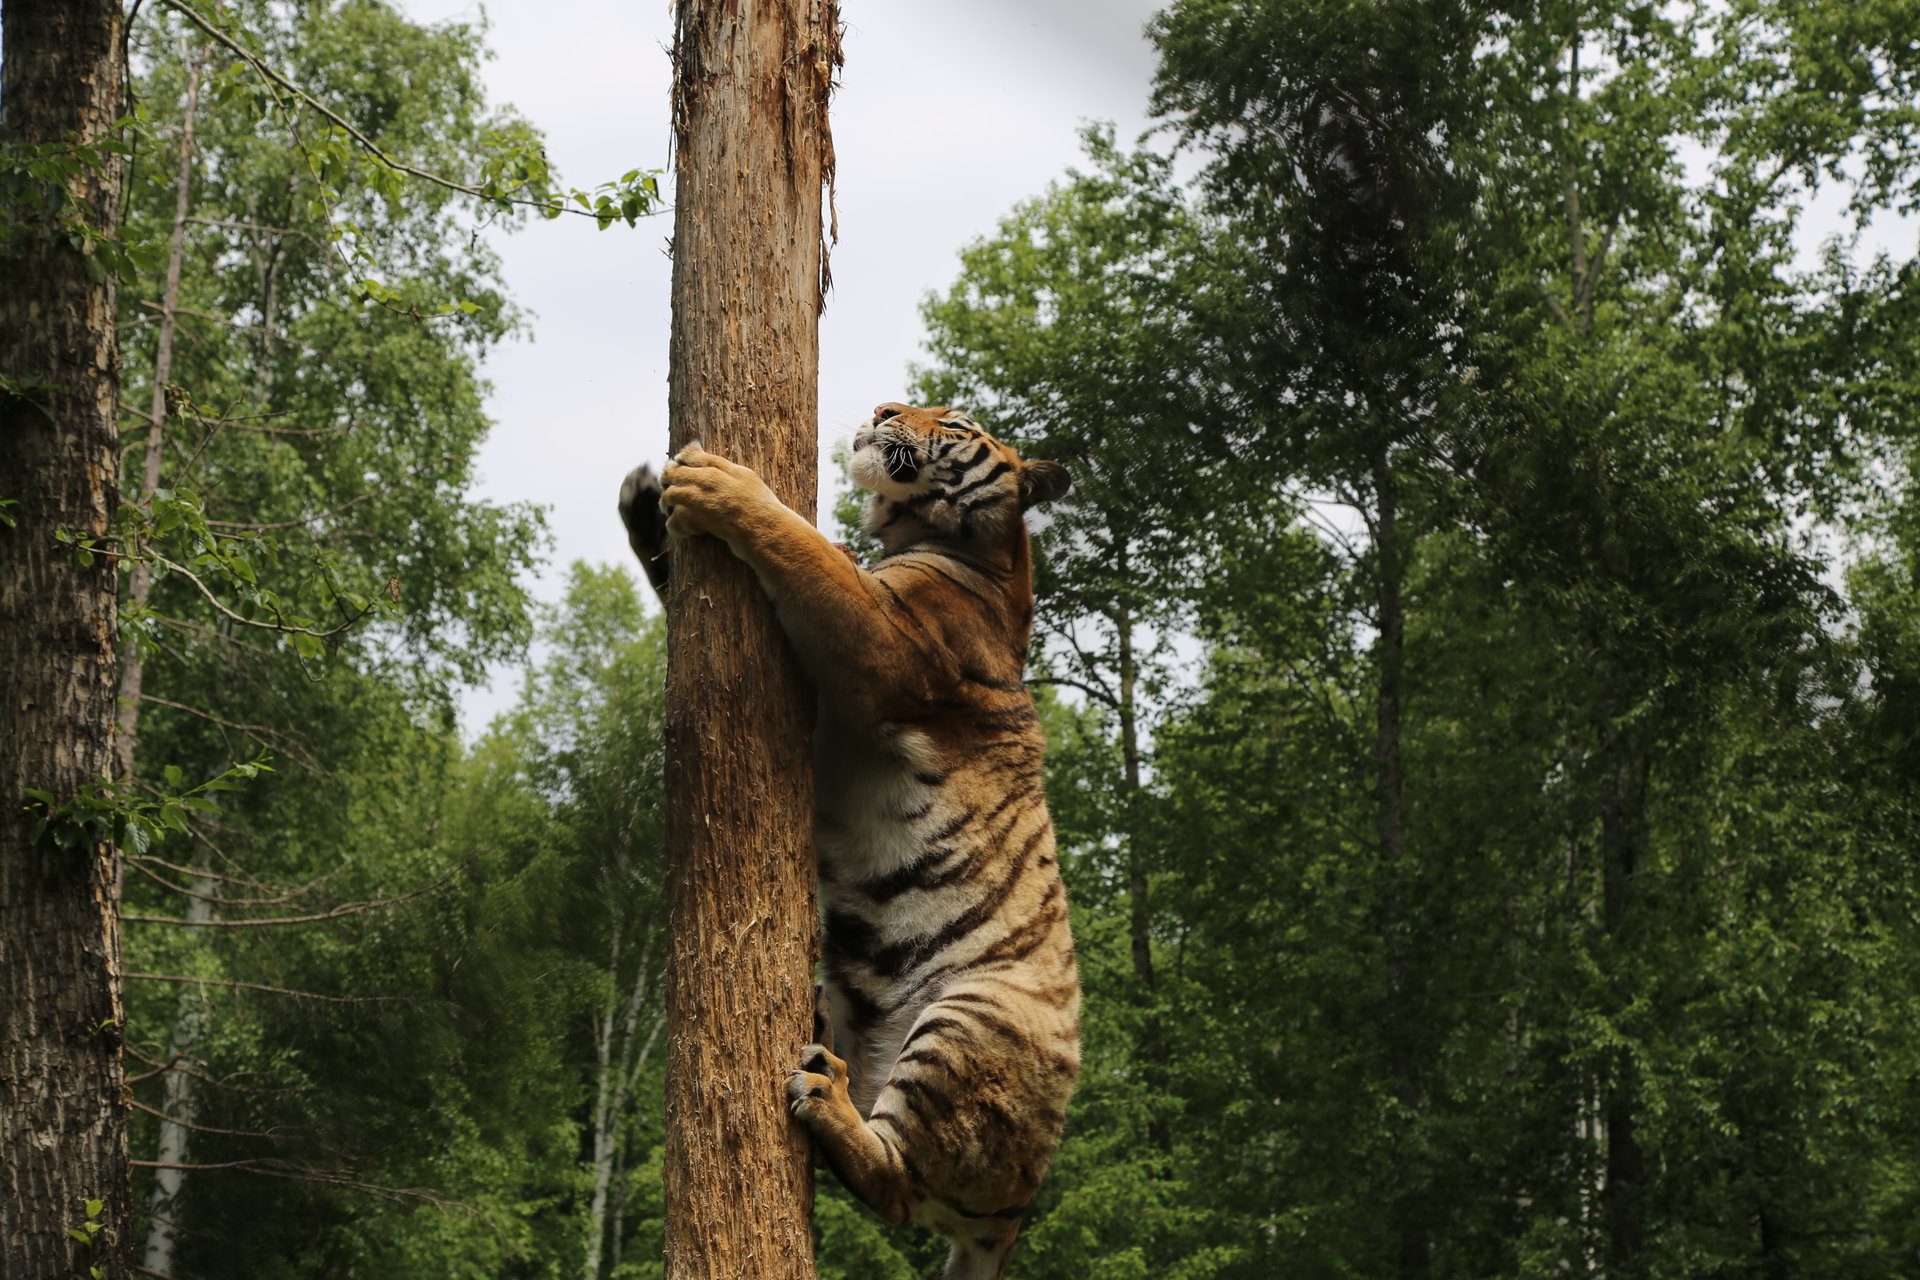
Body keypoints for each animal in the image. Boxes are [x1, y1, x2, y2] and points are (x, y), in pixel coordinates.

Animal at [617, 402, 1081, 1280]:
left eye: (954, 420)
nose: (882, 410)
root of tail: (1018, 1216)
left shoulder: (882, 639)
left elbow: (806, 550)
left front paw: (725, 486)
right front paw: (643, 501)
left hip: (968, 1020)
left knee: (896, 1189)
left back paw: (826, 1099)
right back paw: (825, 1054)